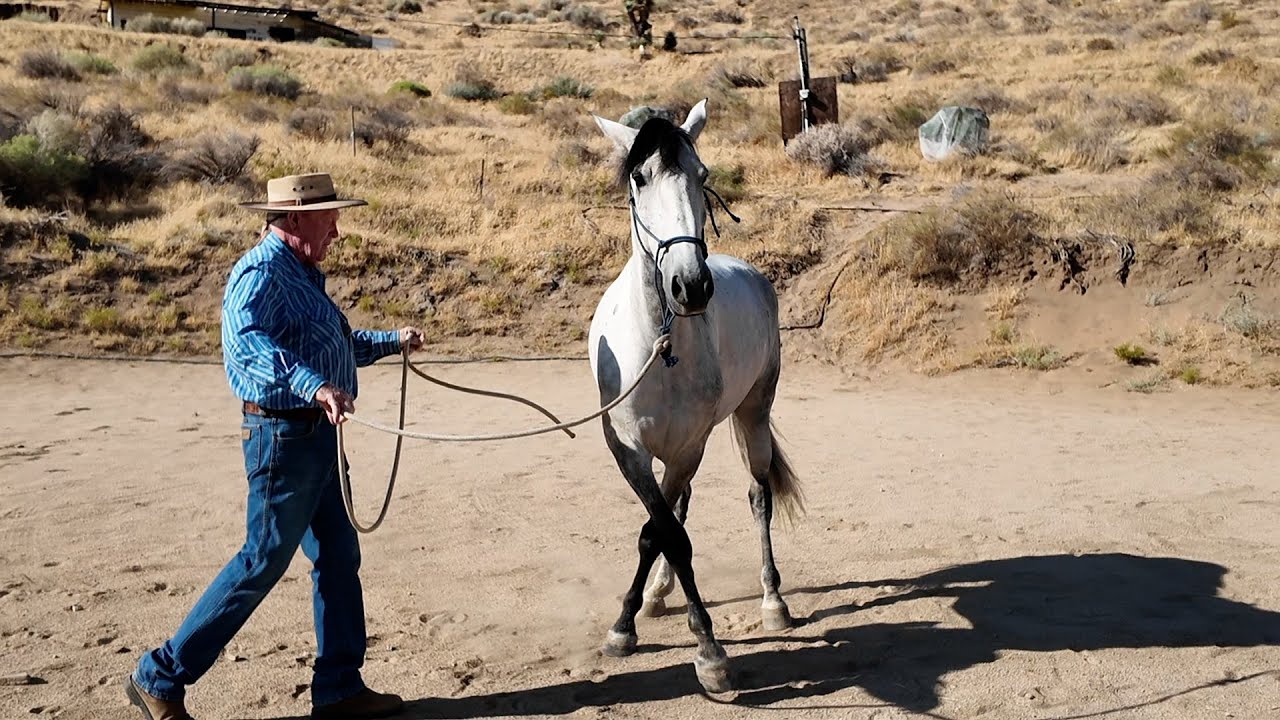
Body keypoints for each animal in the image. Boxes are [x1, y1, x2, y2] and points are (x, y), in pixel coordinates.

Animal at [588, 99, 803, 693]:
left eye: (701, 175)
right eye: (639, 177)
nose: (692, 285)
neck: (658, 345)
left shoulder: (689, 447)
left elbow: (665, 533)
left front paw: (709, 651)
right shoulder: (629, 451)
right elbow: (660, 529)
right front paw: (627, 623)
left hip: (754, 414)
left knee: (757, 497)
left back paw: (773, 601)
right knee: (677, 510)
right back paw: (660, 594)